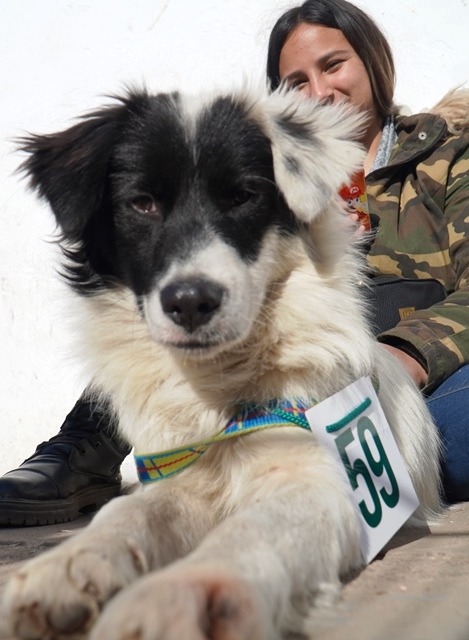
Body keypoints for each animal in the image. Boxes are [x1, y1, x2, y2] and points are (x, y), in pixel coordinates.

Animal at [3, 86, 440, 640]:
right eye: (142, 203)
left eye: (242, 197)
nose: (190, 302)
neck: (220, 388)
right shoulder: (182, 474)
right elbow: (126, 513)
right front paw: (65, 565)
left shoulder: (322, 482)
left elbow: (251, 529)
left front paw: (185, 592)